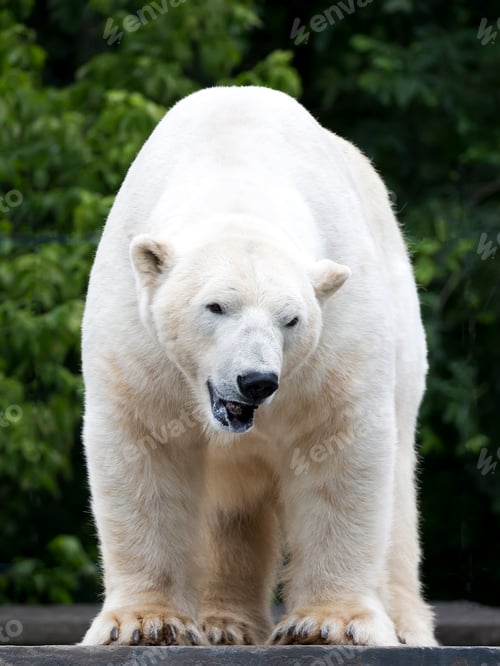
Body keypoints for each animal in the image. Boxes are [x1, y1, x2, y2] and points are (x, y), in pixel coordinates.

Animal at [81, 85, 436, 647]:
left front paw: (327, 624)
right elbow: (143, 445)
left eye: (291, 318)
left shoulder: (336, 330)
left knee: (398, 490)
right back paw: (224, 624)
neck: (236, 171)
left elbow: (339, 443)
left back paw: (404, 625)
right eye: (214, 306)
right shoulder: (139, 335)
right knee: (231, 506)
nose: (257, 381)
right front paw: (146, 622)